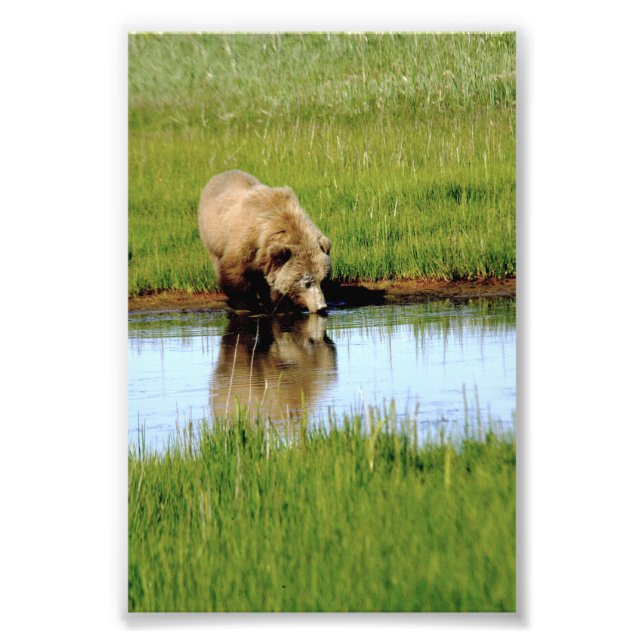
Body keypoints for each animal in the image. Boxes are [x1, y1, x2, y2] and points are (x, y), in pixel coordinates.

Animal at [198, 170, 332, 314]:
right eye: (307, 282)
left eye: (324, 280)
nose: (321, 307)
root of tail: (221, 174)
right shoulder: (244, 245)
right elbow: (236, 276)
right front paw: (246, 305)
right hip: (212, 234)